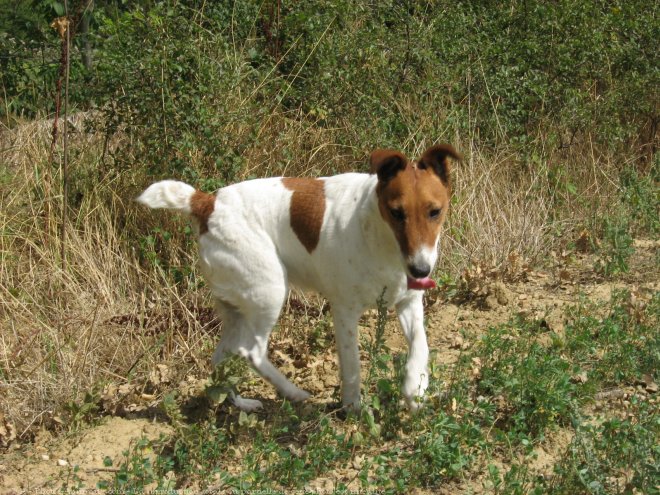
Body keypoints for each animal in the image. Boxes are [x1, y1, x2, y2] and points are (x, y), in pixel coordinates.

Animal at [138, 145, 458, 412]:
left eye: (435, 212)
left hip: (236, 309)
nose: (420, 270)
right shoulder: (344, 312)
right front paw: (354, 409)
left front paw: (415, 389)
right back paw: (293, 392)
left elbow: (420, 347)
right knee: (251, 351)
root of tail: (205, 203)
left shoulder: (409, 303)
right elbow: (352, 367)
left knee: (220, 358)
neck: (381, 236)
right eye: (396, 213)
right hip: (269, 291)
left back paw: (241, 403)